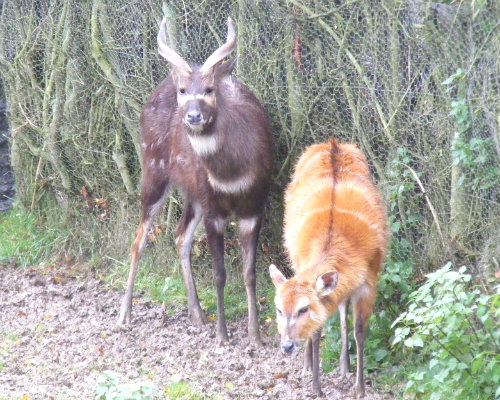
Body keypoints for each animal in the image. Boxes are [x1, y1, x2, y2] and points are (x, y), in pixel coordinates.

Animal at [117, 17, 274, 346]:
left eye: (210, 89)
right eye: (183, 90)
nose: (193, 116)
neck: (233, 174)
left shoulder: (254, 207)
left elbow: (250, 272)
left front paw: (254, 335)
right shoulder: (214, 210)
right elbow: (219, 273)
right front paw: (223, 335)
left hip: (193, 193)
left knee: (180, 235)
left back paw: (198, 314)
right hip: (154, 171)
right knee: (139, 239)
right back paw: (124, 314)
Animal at [270, 138, 386, 396]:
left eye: (303, 308)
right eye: (279, 309)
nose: (287, 345)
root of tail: (332, 143)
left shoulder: (369, 281)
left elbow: (360, 330)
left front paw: (359, 388)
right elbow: (317, 331)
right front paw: (316, 387)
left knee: (343, 310)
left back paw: (344, 367)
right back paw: (308, 366)